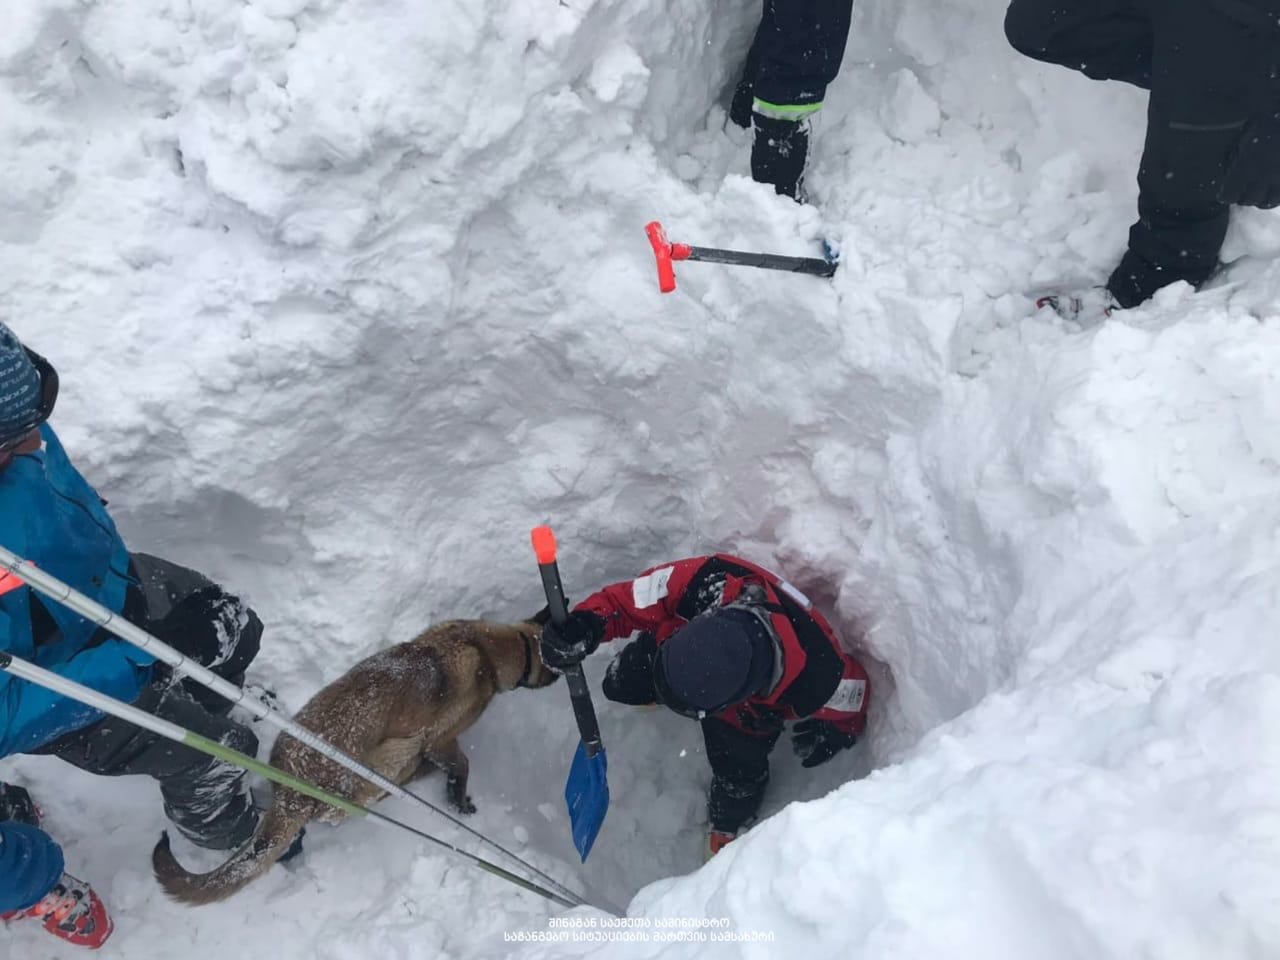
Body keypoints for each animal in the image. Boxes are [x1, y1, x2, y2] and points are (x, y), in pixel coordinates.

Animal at [148, 619, 555, 906]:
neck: (485, 647)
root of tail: (290, 793)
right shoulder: (439, 739)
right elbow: (462, 766)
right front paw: (458, 800)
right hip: (395, 751)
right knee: (346, 808)